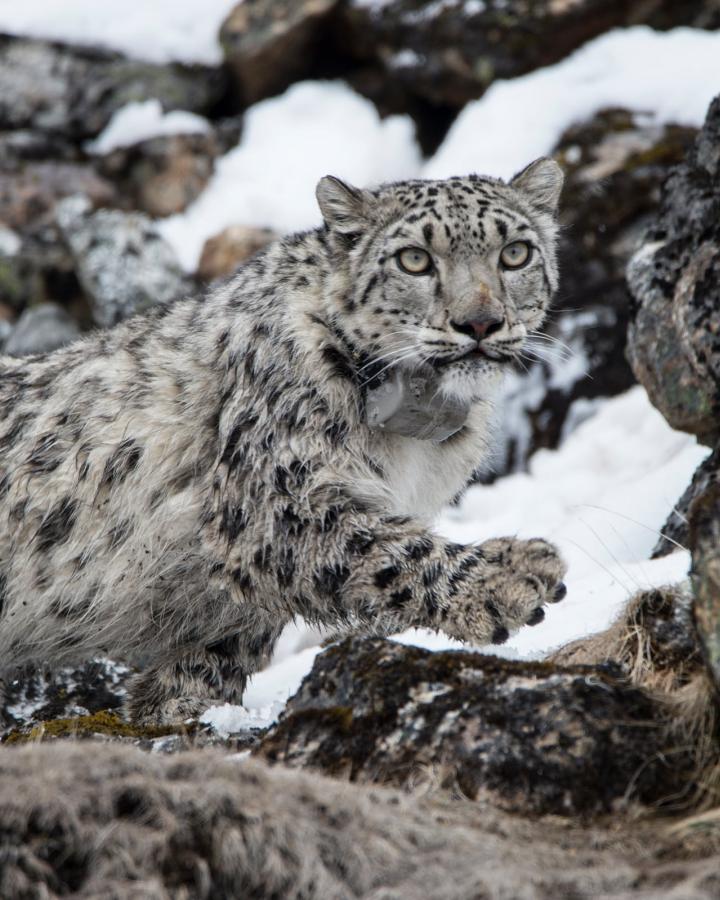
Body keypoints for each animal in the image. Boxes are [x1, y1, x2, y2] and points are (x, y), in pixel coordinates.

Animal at [1, 156, 568, 724]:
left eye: (515, 253)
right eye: (414, 260)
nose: (480, 322)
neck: (416, 439)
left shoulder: (223, 613)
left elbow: (213, 659)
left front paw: (180, 709)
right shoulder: (275, 497)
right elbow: (384, 549)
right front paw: (509, 576)